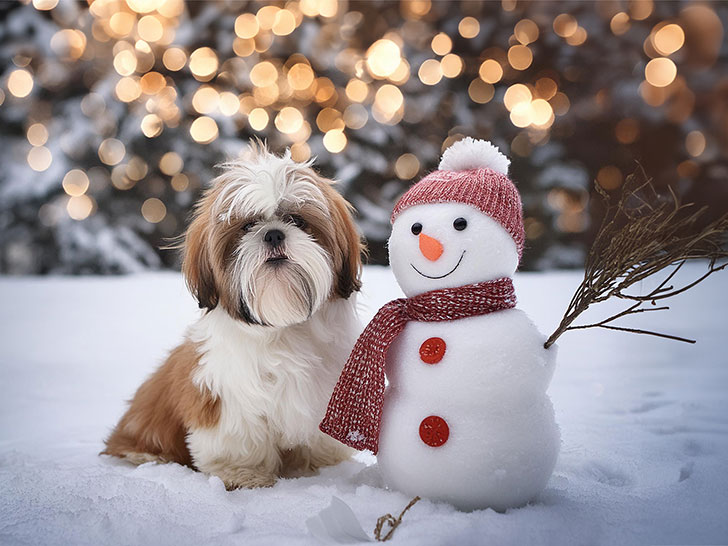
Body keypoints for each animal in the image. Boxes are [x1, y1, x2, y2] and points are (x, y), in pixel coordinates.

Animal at [102, 142, 364, 486]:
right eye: (248, 226)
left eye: (297, 219)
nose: (273, 234)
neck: (282, 325)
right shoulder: (227, 397)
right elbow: (238, 441)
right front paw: (244, 474)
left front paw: (320, 469)